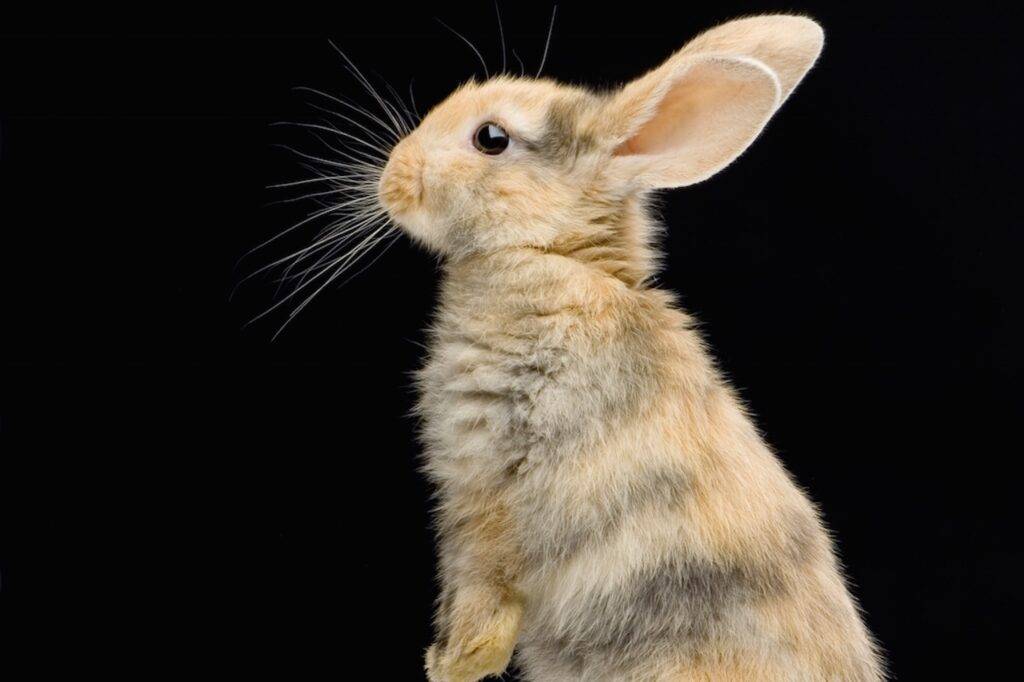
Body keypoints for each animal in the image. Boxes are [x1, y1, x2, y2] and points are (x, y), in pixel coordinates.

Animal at [374, 14, 884, 682]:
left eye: (491, 138)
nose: (391, 175)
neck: (554, 256)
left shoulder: (492, 484)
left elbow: (485, 579)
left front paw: (454, 663)